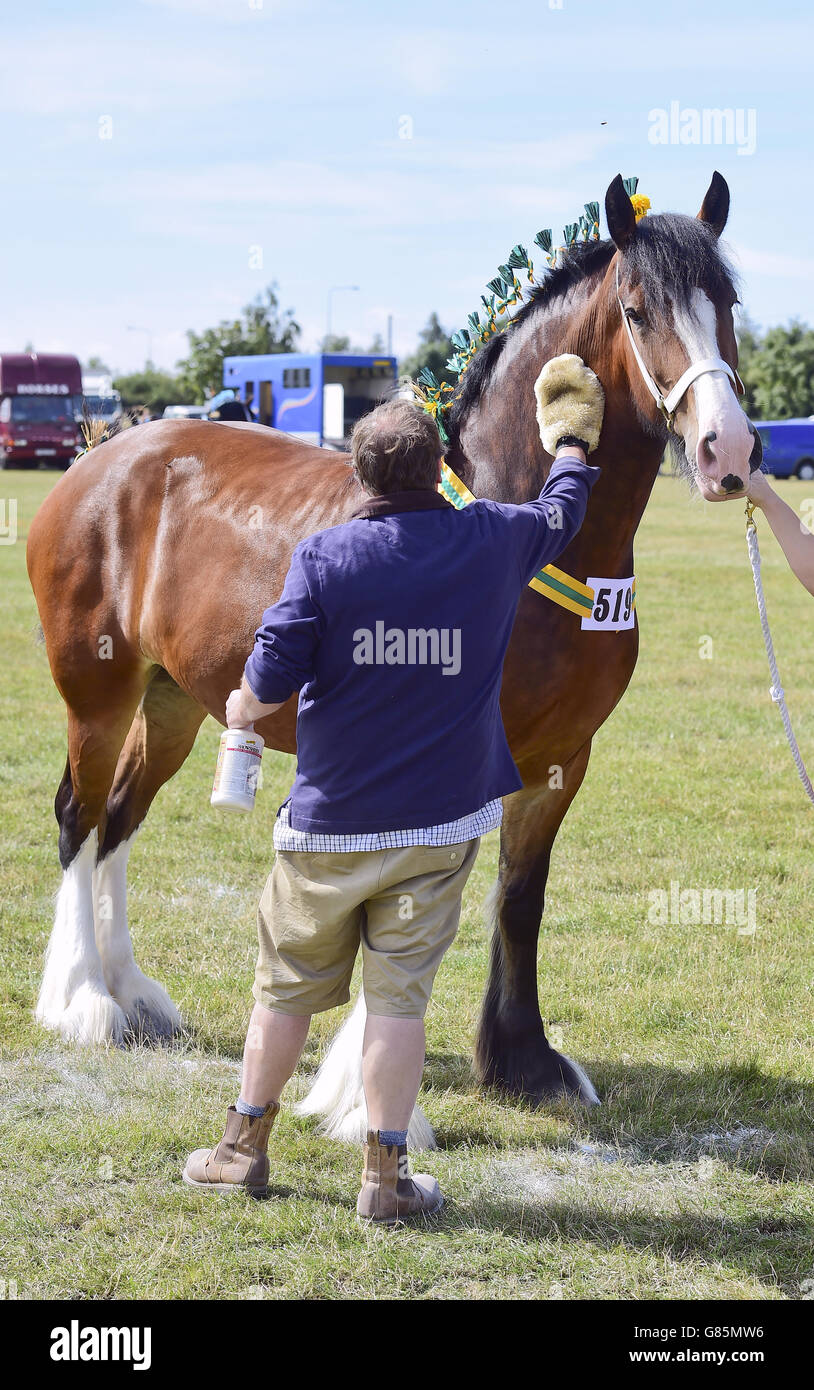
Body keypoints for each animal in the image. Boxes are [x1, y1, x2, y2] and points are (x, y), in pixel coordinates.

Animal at [30, 176, 755, 1117]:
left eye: (728, 305)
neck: (519, 526)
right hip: (99, 694)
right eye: (637, 310)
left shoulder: (561, 759)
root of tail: (107, 453)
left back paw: (134, 995)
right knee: (79, 819)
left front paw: (522, 1062)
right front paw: (365, 1090)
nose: (727, 448)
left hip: (175, 700)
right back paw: (83, 1000)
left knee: (119, 819)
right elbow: (406, 912)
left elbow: (519, 899)